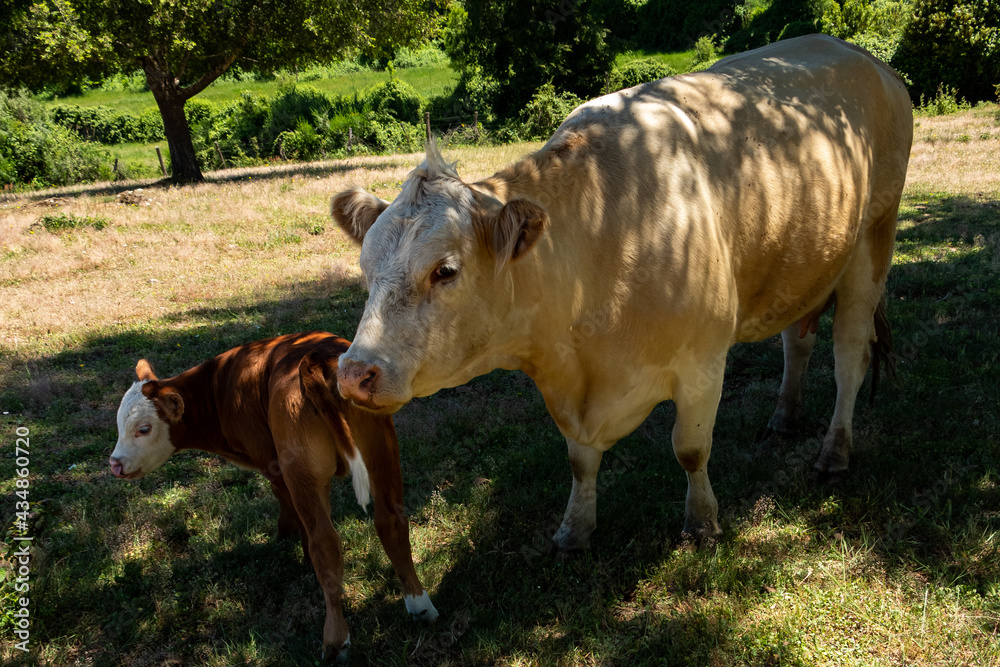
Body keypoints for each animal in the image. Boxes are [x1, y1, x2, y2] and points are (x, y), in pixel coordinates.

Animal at [108, 332, 438, 661]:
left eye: (144, 428)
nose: (115, 463)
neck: (219, 387)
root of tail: (316, 358)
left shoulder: (274, 464)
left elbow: (285, 503)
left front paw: (287, 538)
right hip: (380, 451)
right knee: (391, 521)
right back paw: (420, 605)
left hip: (303, 471)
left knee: (326, 545)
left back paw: (335, 640)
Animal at [329, 35, 913, 552]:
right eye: (365, 269)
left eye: (445, 270)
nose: (354, 373)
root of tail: (865, 58)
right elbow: (579, 460)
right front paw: (575, 530)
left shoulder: (703, 359)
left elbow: (691, 449)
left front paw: (702, 524)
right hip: (806, 257)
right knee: (798, 339)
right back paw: (785, 418)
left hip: (872, 243)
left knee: (849, 357)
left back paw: (834, 453)